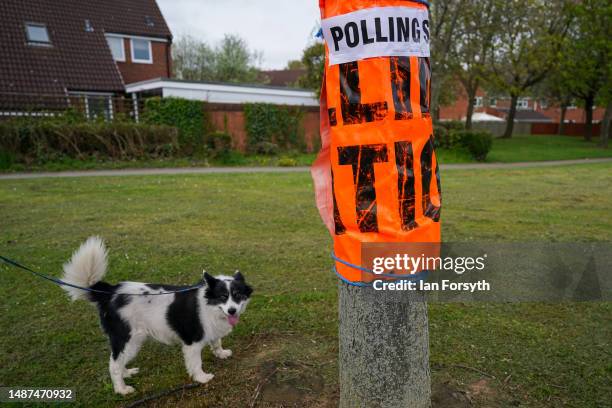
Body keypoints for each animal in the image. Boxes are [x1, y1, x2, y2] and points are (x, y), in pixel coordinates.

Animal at [61, 237, 252, 394]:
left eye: (237, 295)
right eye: (222, 297)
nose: (232, 311)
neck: (209, 305)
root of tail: (111, 292)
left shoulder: (211, 330)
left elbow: (216, 342)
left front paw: (221, 353)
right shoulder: (192, 342)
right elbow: (196, 363)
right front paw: (202, 378)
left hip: (132, 341)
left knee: (118, 360)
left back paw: (127, 373)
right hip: (127, 339)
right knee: (114, 364)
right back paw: (121, 389)